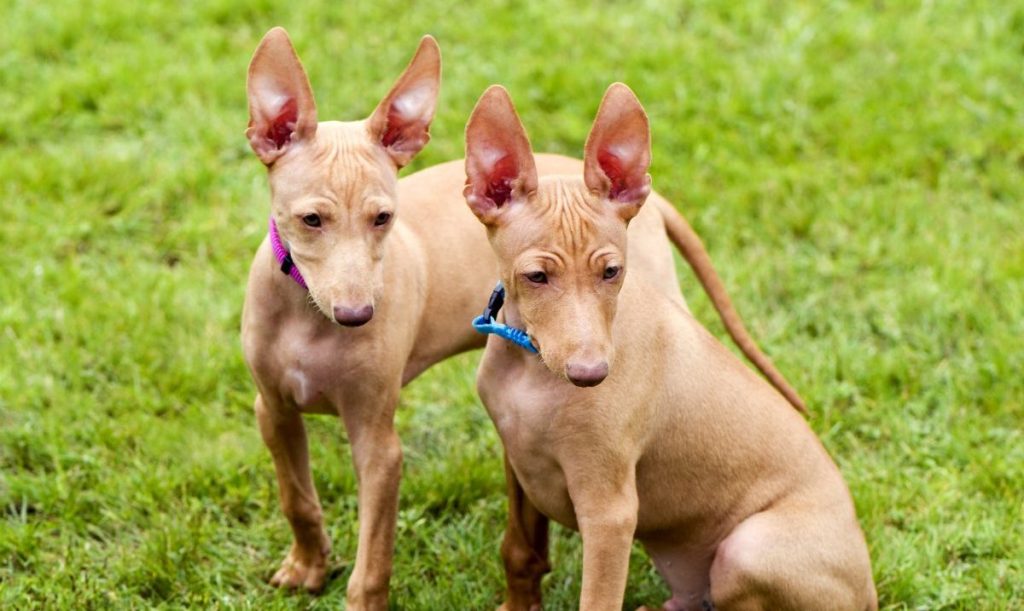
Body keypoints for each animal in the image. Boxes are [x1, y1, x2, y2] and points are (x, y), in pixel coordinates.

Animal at [464, 82, 872, 609]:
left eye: (611, 272)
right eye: (536, 277)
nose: (592, 375)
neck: (532, 367)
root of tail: (869, 591)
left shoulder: (610, 512)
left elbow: (596, 599)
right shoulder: (517, 463)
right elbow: (519, 554)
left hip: (748, 549)